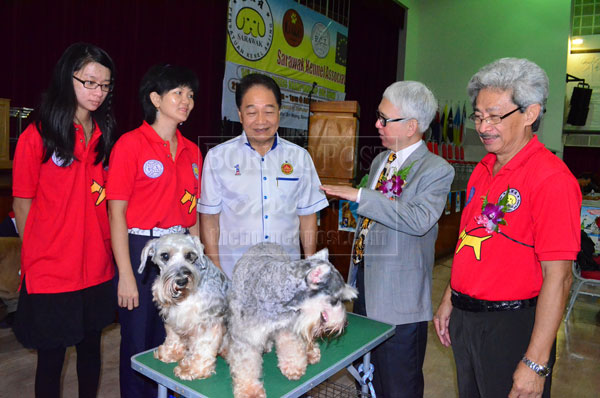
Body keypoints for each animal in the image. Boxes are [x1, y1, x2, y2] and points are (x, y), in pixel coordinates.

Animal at [138, 235, 230, 380]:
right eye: (165, 256)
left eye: (190, 255)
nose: (182, 281)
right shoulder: (173, 317)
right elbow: (173, 336)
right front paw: (170, 352)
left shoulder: (208, 322)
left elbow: (203, 347)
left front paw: (192, 369)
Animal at [224, 243, 356, 398]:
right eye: (335, 299)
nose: (345, 323)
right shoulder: (246, 338)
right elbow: (246, 366)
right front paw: (250, 391)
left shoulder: (287, 327)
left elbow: (291, 347)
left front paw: (294, 367)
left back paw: (311, 353)